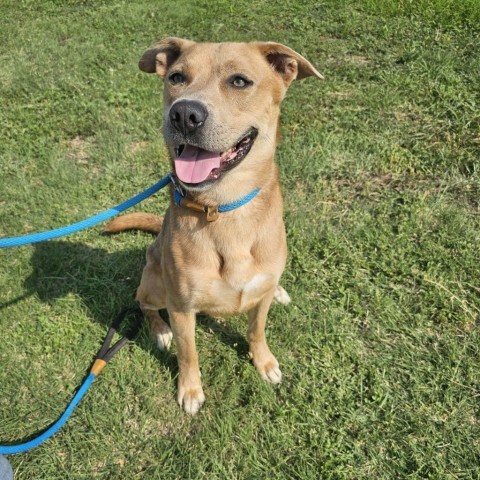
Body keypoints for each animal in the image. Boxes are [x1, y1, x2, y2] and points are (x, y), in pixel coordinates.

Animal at [105, 37, 322, 414]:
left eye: (239, 81)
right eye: (177, 77)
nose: (184, 114)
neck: (224, 209)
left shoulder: (258, 301)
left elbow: (257, 330)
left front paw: (263, 361)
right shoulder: (181, 308)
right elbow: (188, 352)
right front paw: (190, 390)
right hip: (155, 284)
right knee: (144, 304)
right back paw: (159, 330)